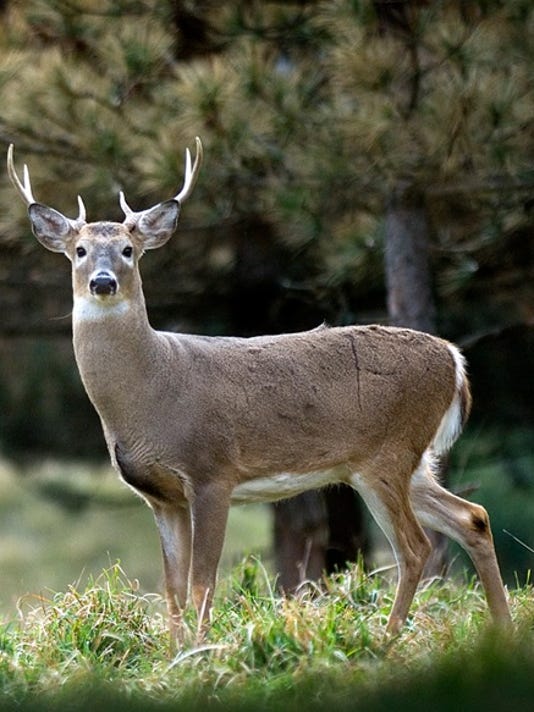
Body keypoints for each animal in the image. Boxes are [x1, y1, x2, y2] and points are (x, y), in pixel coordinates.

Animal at [7, 140, 512, 638]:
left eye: (129, 249)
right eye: (80, 250)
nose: (103, 281)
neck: (150, 391)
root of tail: (454, 359)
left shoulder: (212, 471)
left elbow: (202, 583)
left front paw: (203, 652)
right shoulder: (161, 495)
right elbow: (171, 589)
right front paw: (174, 655)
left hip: (387, 454)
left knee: (415, 547)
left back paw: (388, 640)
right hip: (405, 463)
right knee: (473, 517)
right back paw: (501, 629)